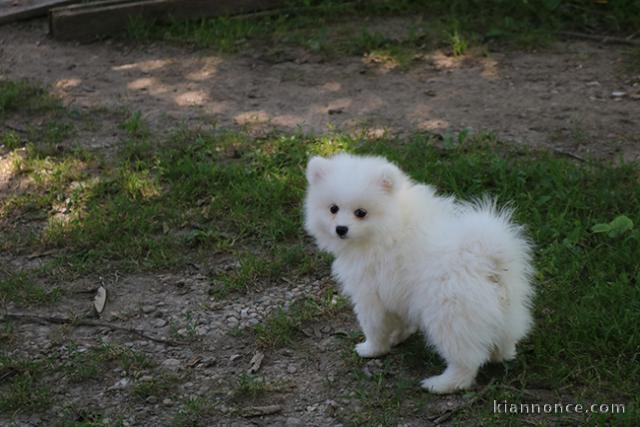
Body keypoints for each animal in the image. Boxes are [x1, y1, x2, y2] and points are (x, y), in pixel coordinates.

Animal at [304, 153, 536, 394]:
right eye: (333, 208)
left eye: (361, 213)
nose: (341, 229)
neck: (389, 225)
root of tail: (485, 257)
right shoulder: (397, 293)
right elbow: (400, 320)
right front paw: (397, 337)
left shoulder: (370, 294)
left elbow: (374, 325)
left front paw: (372, 348)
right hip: (506, 308)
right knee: (505, 336)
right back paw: (501, 354)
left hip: (451, 314)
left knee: (465, 360)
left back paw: (441, 383)